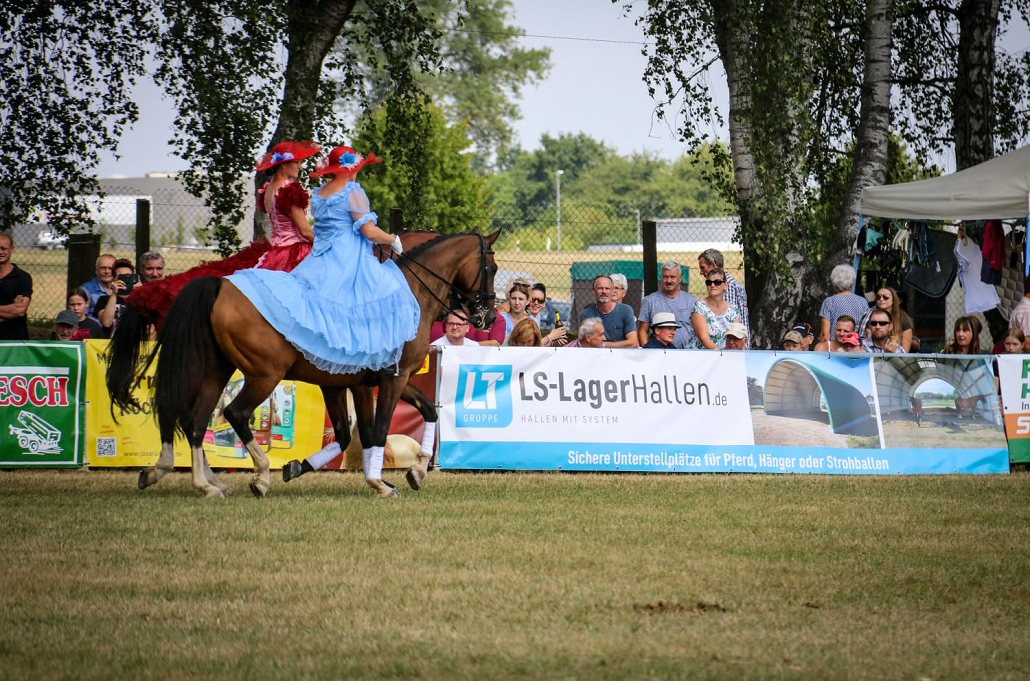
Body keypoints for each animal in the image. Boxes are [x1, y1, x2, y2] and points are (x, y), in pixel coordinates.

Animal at [106, 230, 500, 496]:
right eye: (492, 267)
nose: (487, 316)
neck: (408, 294)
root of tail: (219, 284)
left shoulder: (352, 382)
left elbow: (381, 425)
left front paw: (411, 473)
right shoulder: (393, 378)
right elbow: (377, 430)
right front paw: (381, 482)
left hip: (216, 371)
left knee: (194, 419)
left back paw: (201, 482)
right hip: (264, 373)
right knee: (233, 413)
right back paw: (258, 475)